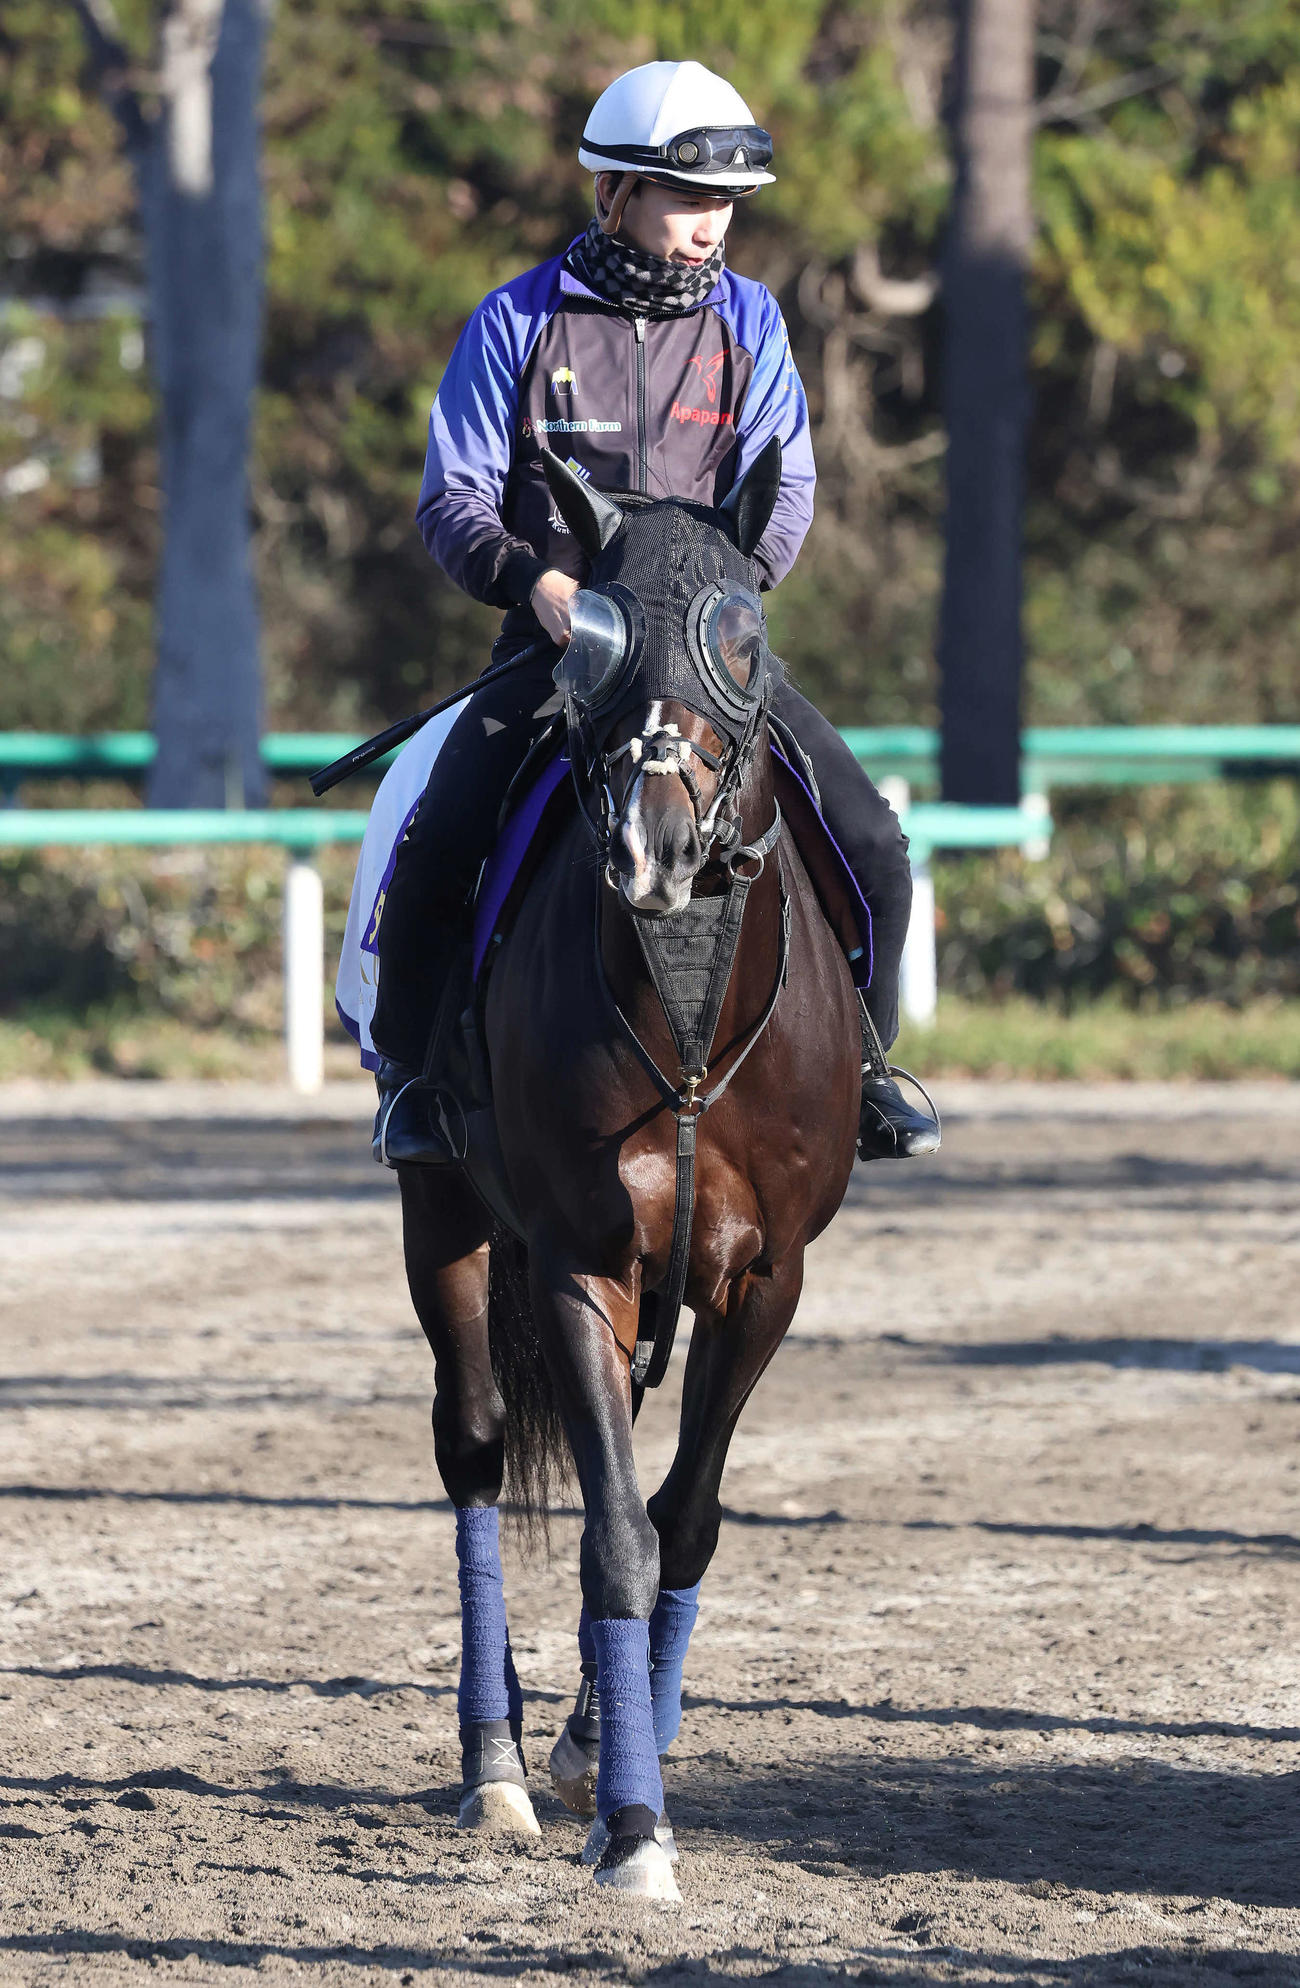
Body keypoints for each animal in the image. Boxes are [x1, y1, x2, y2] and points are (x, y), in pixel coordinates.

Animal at [396, 438, 860, 1899]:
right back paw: (494, 1764)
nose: (653, 848)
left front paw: (621, 1755)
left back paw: (586, 1736)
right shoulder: (578, 1260)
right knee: (476, 1447)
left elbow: (683, 1518)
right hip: (442, 1220)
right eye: (591, 633)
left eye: (744, 634)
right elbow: (614, 1532)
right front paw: (635, 1829)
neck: (689, 1007)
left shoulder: (766, 1280)